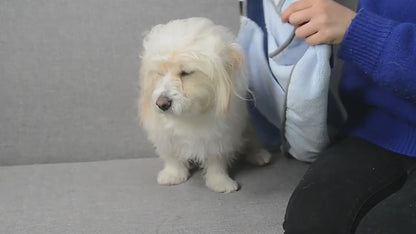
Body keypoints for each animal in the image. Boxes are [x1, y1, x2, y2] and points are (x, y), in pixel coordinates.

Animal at [138, 16, 272, 192]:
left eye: (186, 73)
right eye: (160, 73)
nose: (162, 103)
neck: (189, 115)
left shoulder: (221, 136)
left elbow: (217, 161)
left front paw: (220, 182)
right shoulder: (165, 135)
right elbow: (172, 157)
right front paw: (173, 175)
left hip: (248, 126)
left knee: (252, 139)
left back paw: (258, 154)